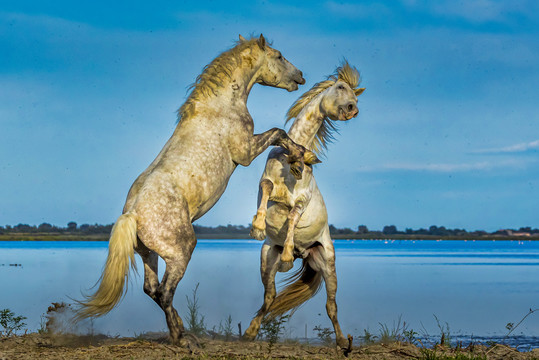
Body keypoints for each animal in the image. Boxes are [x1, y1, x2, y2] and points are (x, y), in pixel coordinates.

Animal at [74, 34, 316, 346]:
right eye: (278, 56)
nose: (300, 76)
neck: (221, 105)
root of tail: (132, 214)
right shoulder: (246, 152)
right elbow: (278, 132)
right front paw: (300, 157)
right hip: (181, 252)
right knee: (164, 292)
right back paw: (182, 339)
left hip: (149, 254)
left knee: (152, 289)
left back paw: (183, 330)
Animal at [245, 62, 368, 352]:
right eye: (340, 87)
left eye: (356, 98)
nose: (353, 109)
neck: (292, 155)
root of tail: (306, 255)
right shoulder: (266, 183)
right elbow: (266, 191)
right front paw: (257, 227)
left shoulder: (302, 199)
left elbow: (292, 215)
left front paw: (288, 256)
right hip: (266, 259)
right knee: (269, 297)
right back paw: (249, 332)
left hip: (328, 266)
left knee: (331, 306)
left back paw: (342, 342)